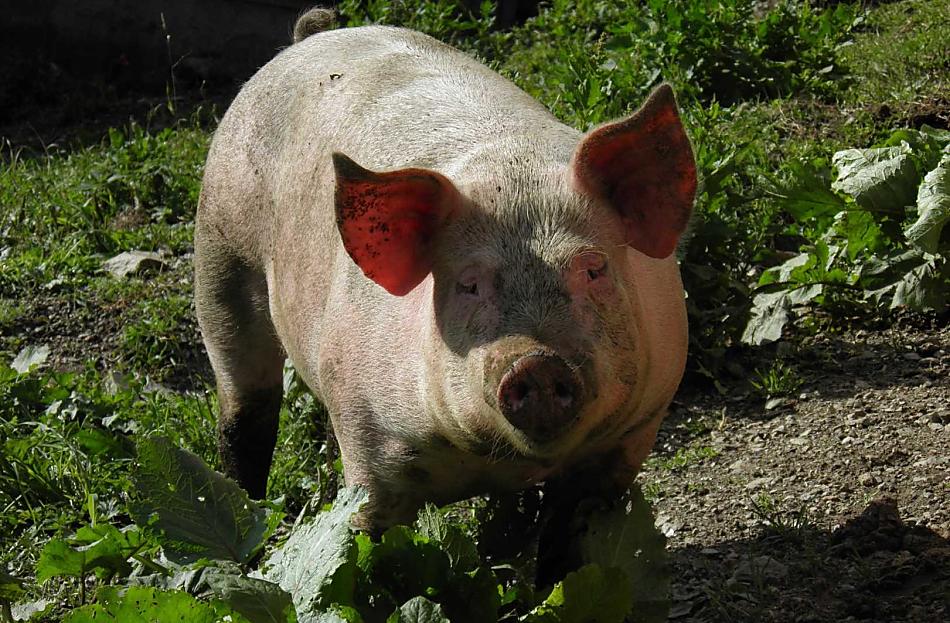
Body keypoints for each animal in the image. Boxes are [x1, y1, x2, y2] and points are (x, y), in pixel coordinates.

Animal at [194, 8, 696, 531]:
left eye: (594, 269)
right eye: (468, 285)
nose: (537, 361)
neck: (496, 461)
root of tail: (312, 36)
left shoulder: (632, 434)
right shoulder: (370, 444)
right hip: (219, 255)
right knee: (244, 413)